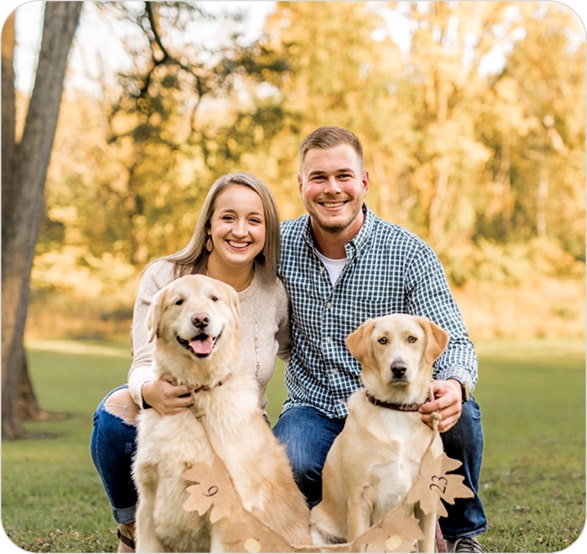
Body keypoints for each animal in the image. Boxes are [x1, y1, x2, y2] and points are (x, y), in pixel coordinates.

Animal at [310, 314, 449, 552]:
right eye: (382, 340)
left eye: (412, 339)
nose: (399, 368)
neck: (396, 409)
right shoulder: (359, 500)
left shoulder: (426, 500)